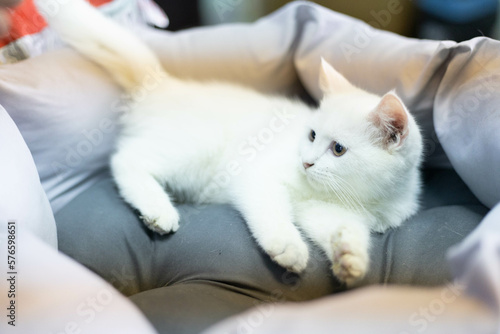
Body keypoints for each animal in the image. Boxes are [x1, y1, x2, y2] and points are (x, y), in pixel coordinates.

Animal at [38, 0, 422, 284]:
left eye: (338, 149)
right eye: (312, 135)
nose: (307, 162)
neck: (356, 197)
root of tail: (164, 85)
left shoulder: (325, 211)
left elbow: (345, 231)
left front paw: (350, 258)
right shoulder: (257, 176)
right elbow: (271, 212)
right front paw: (287, 246)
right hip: (194, 150)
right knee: (125, 159)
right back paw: (158, 209)